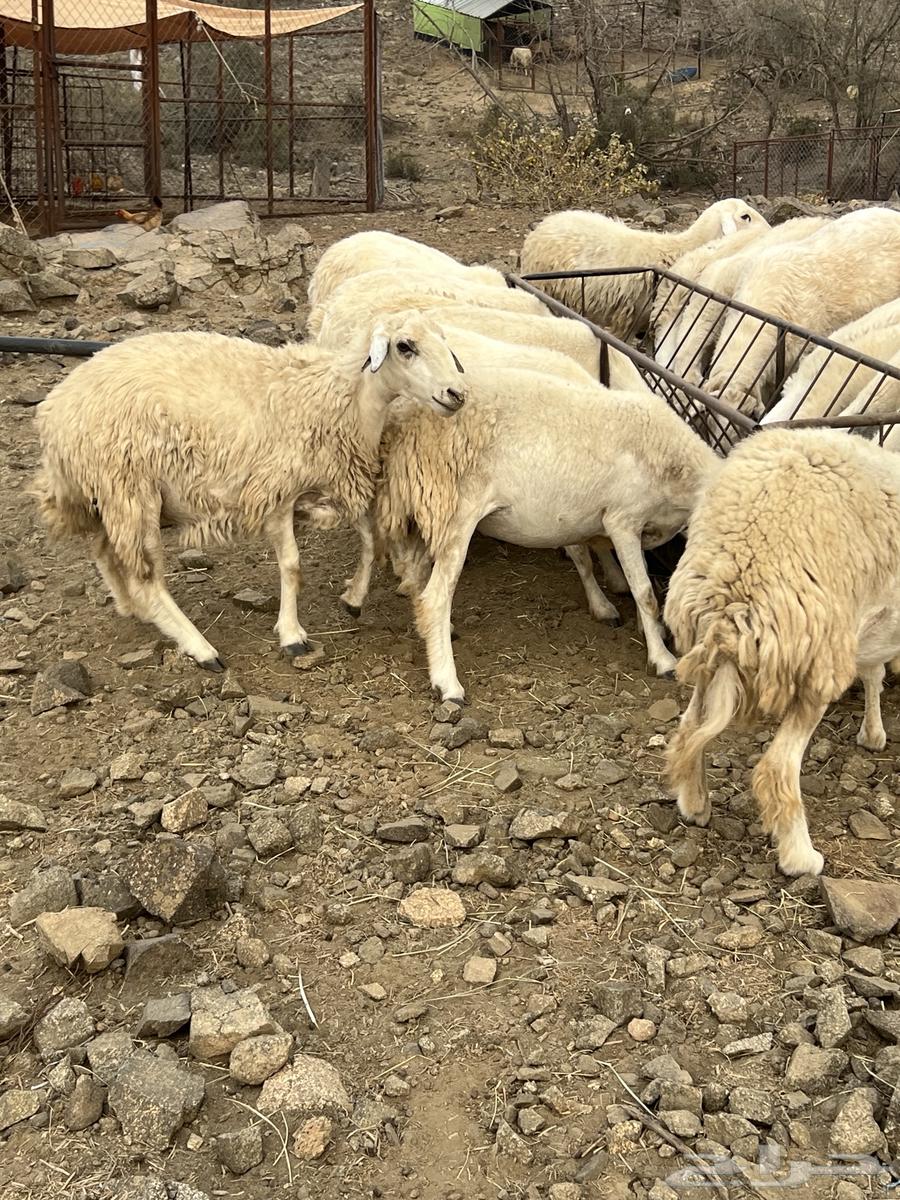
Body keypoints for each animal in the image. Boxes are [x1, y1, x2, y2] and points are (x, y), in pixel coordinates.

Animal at [32, 315, 467, 670]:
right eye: (405, 346)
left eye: (446, 342)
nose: (457, 394)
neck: (341, 395)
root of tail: (55, 411)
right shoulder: (276, 491)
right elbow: (291, 566)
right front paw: (292, 635)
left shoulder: (328, 486)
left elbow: (371, 539)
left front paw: (353, 598)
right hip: (129, 489)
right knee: (147, 578)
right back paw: (200, 648)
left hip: (101, 495)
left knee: (104, 551)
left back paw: (130, 607)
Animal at [371, 367, 719, 701]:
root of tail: (403, 422)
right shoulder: (623, 519)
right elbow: (645, 593)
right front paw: (662, 659)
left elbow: (619, 572)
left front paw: (638, 624)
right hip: (455, 511)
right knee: (435, 597)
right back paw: (447, 684)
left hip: (423, 507)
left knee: (416, 581)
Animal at [664, 427, 900, 877]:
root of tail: (731, 601)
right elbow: (876, 673)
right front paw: (876, 734)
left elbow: (874, 672)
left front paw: (872, 733)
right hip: (817, 650)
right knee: (776, 768)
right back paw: (801, 858)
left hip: (704, 648)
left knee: (688, 727)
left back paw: (695, 804)